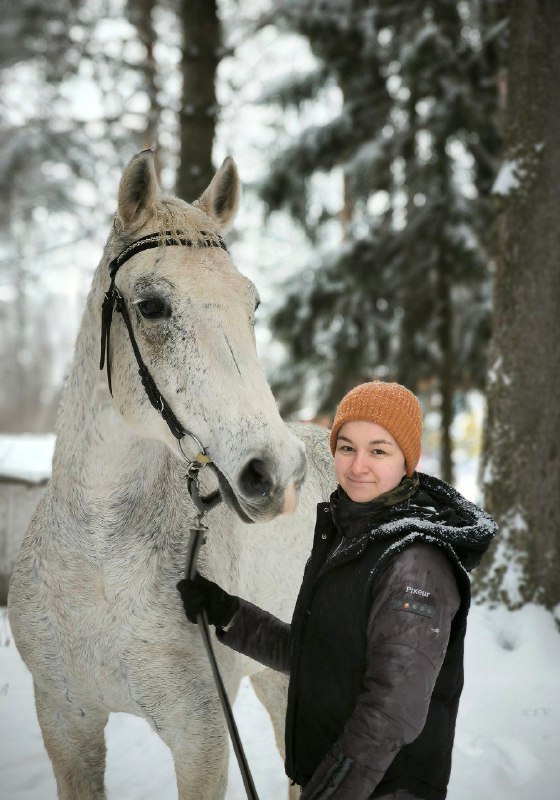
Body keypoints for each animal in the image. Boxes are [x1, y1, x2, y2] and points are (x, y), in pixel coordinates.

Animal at [8, 152, 332, 800]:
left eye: (252, 305)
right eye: (152, 306)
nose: (276, 473)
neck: (97, 566)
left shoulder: (201, 741)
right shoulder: (64, 721)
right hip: (274, 678)